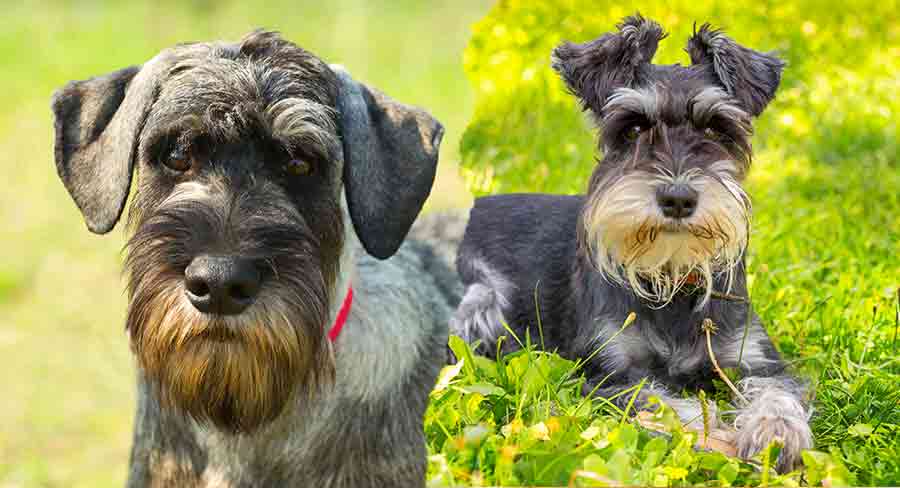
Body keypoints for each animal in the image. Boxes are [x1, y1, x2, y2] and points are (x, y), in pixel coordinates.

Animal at [454, 16, 812, 472]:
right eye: (634, 126)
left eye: (716, 127)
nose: (678, 198)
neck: (670, 278)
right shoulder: (608, 374)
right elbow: (668, 404)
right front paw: (717, 437)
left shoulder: (757, 360)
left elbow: (777, 393)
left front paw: (776, 433)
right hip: (479, 298)